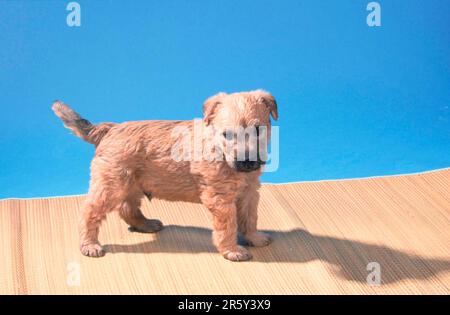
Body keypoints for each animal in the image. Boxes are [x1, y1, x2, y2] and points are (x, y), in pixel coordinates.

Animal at [52, 90, 278, 262]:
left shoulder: (249, 192)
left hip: (132, 184)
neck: (219, 150)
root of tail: (110, 128)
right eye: (228, 135)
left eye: (258, 130)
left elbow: (250, 217)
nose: (247, 161)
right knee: (89, 212)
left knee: (127, 208)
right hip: (111, 186)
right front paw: (232, 250)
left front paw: (254, 237)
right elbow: (228, 225)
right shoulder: (220, 198)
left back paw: (145, 224)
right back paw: (89, 244)